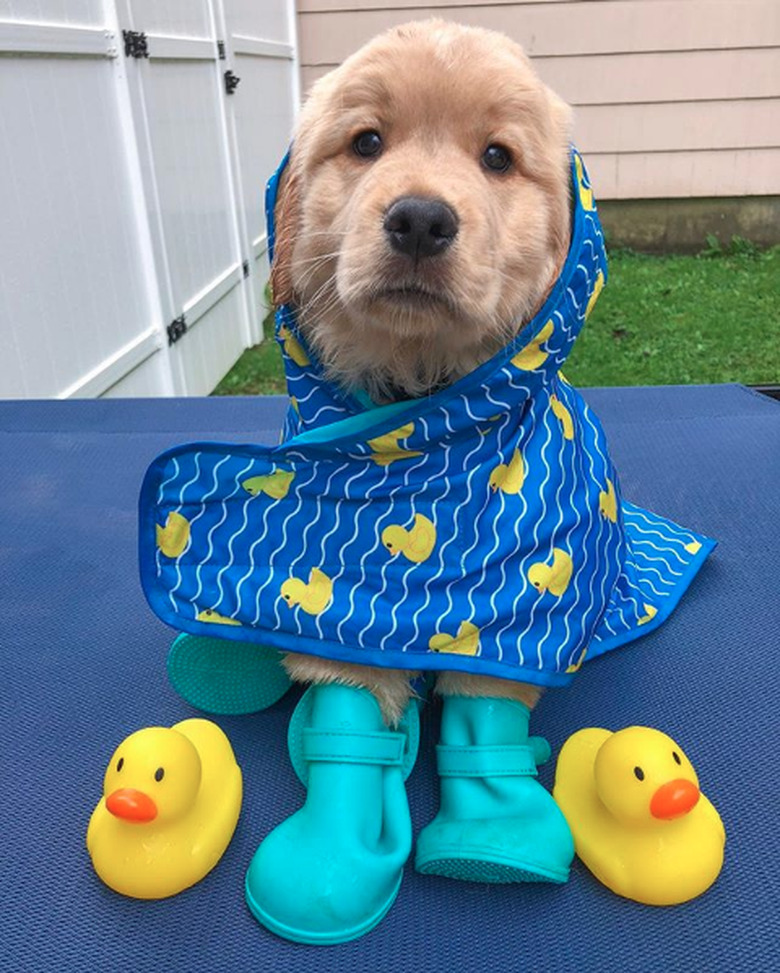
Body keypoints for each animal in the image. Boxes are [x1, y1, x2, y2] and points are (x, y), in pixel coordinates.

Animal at [274, 17, 572, 720]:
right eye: (367, 143)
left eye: (498, 157)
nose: (419, 220)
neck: (417, 374)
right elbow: (347, 684)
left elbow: (489, 694)